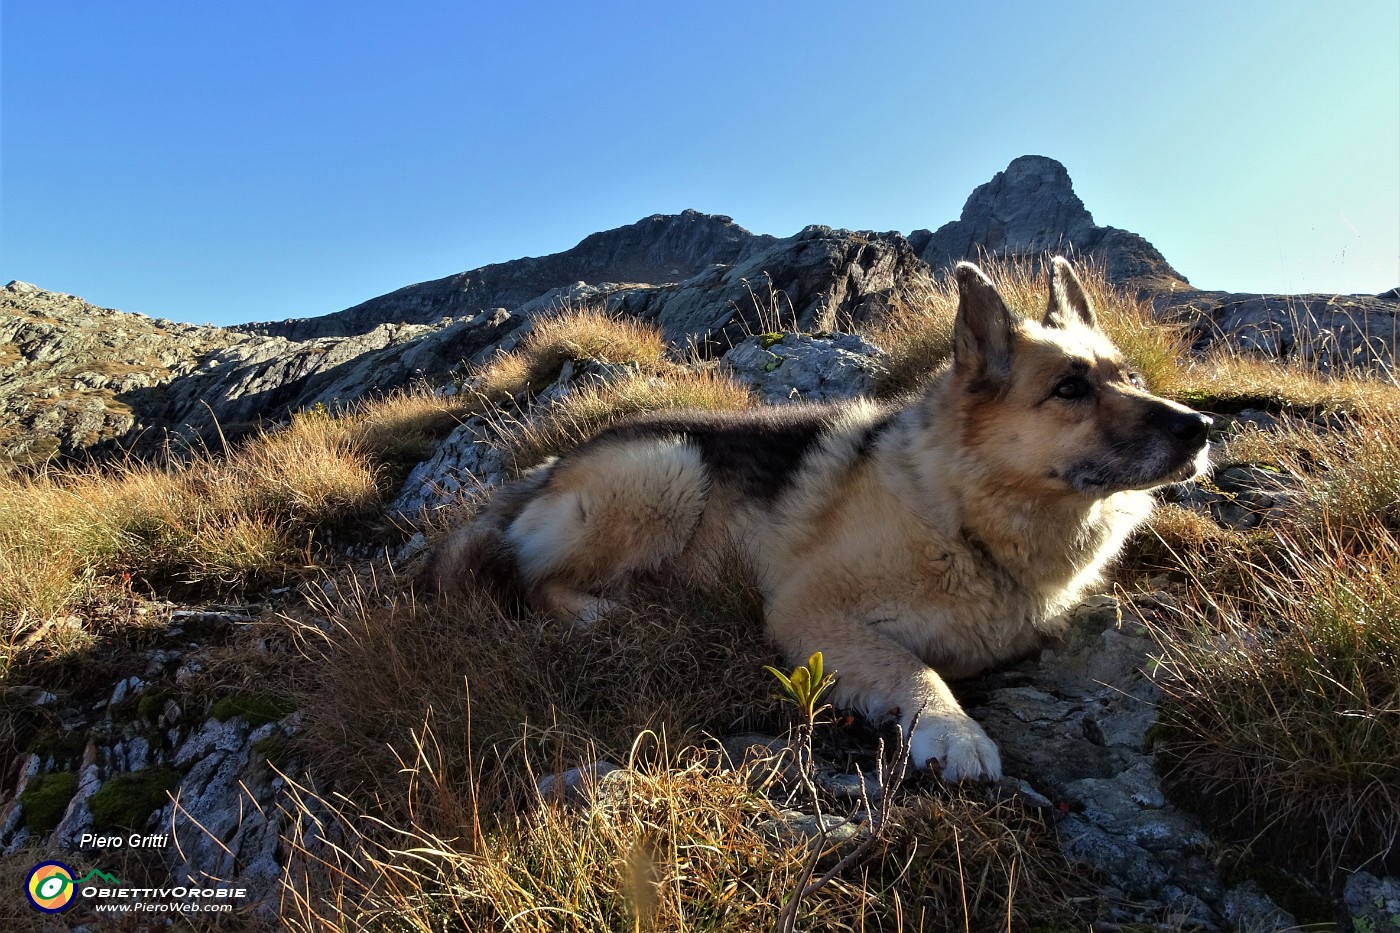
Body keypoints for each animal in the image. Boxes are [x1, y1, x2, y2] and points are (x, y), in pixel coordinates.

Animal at [431, 254, 1209, 778]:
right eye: (1070, 389)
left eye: (1130, 379)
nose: (1201, 427)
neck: (959, 514)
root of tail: (548, 467)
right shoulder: (810, 613)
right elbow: (913, 666)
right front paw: (956, 733)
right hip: (668, 468)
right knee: (536, 584)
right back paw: (606, 614)